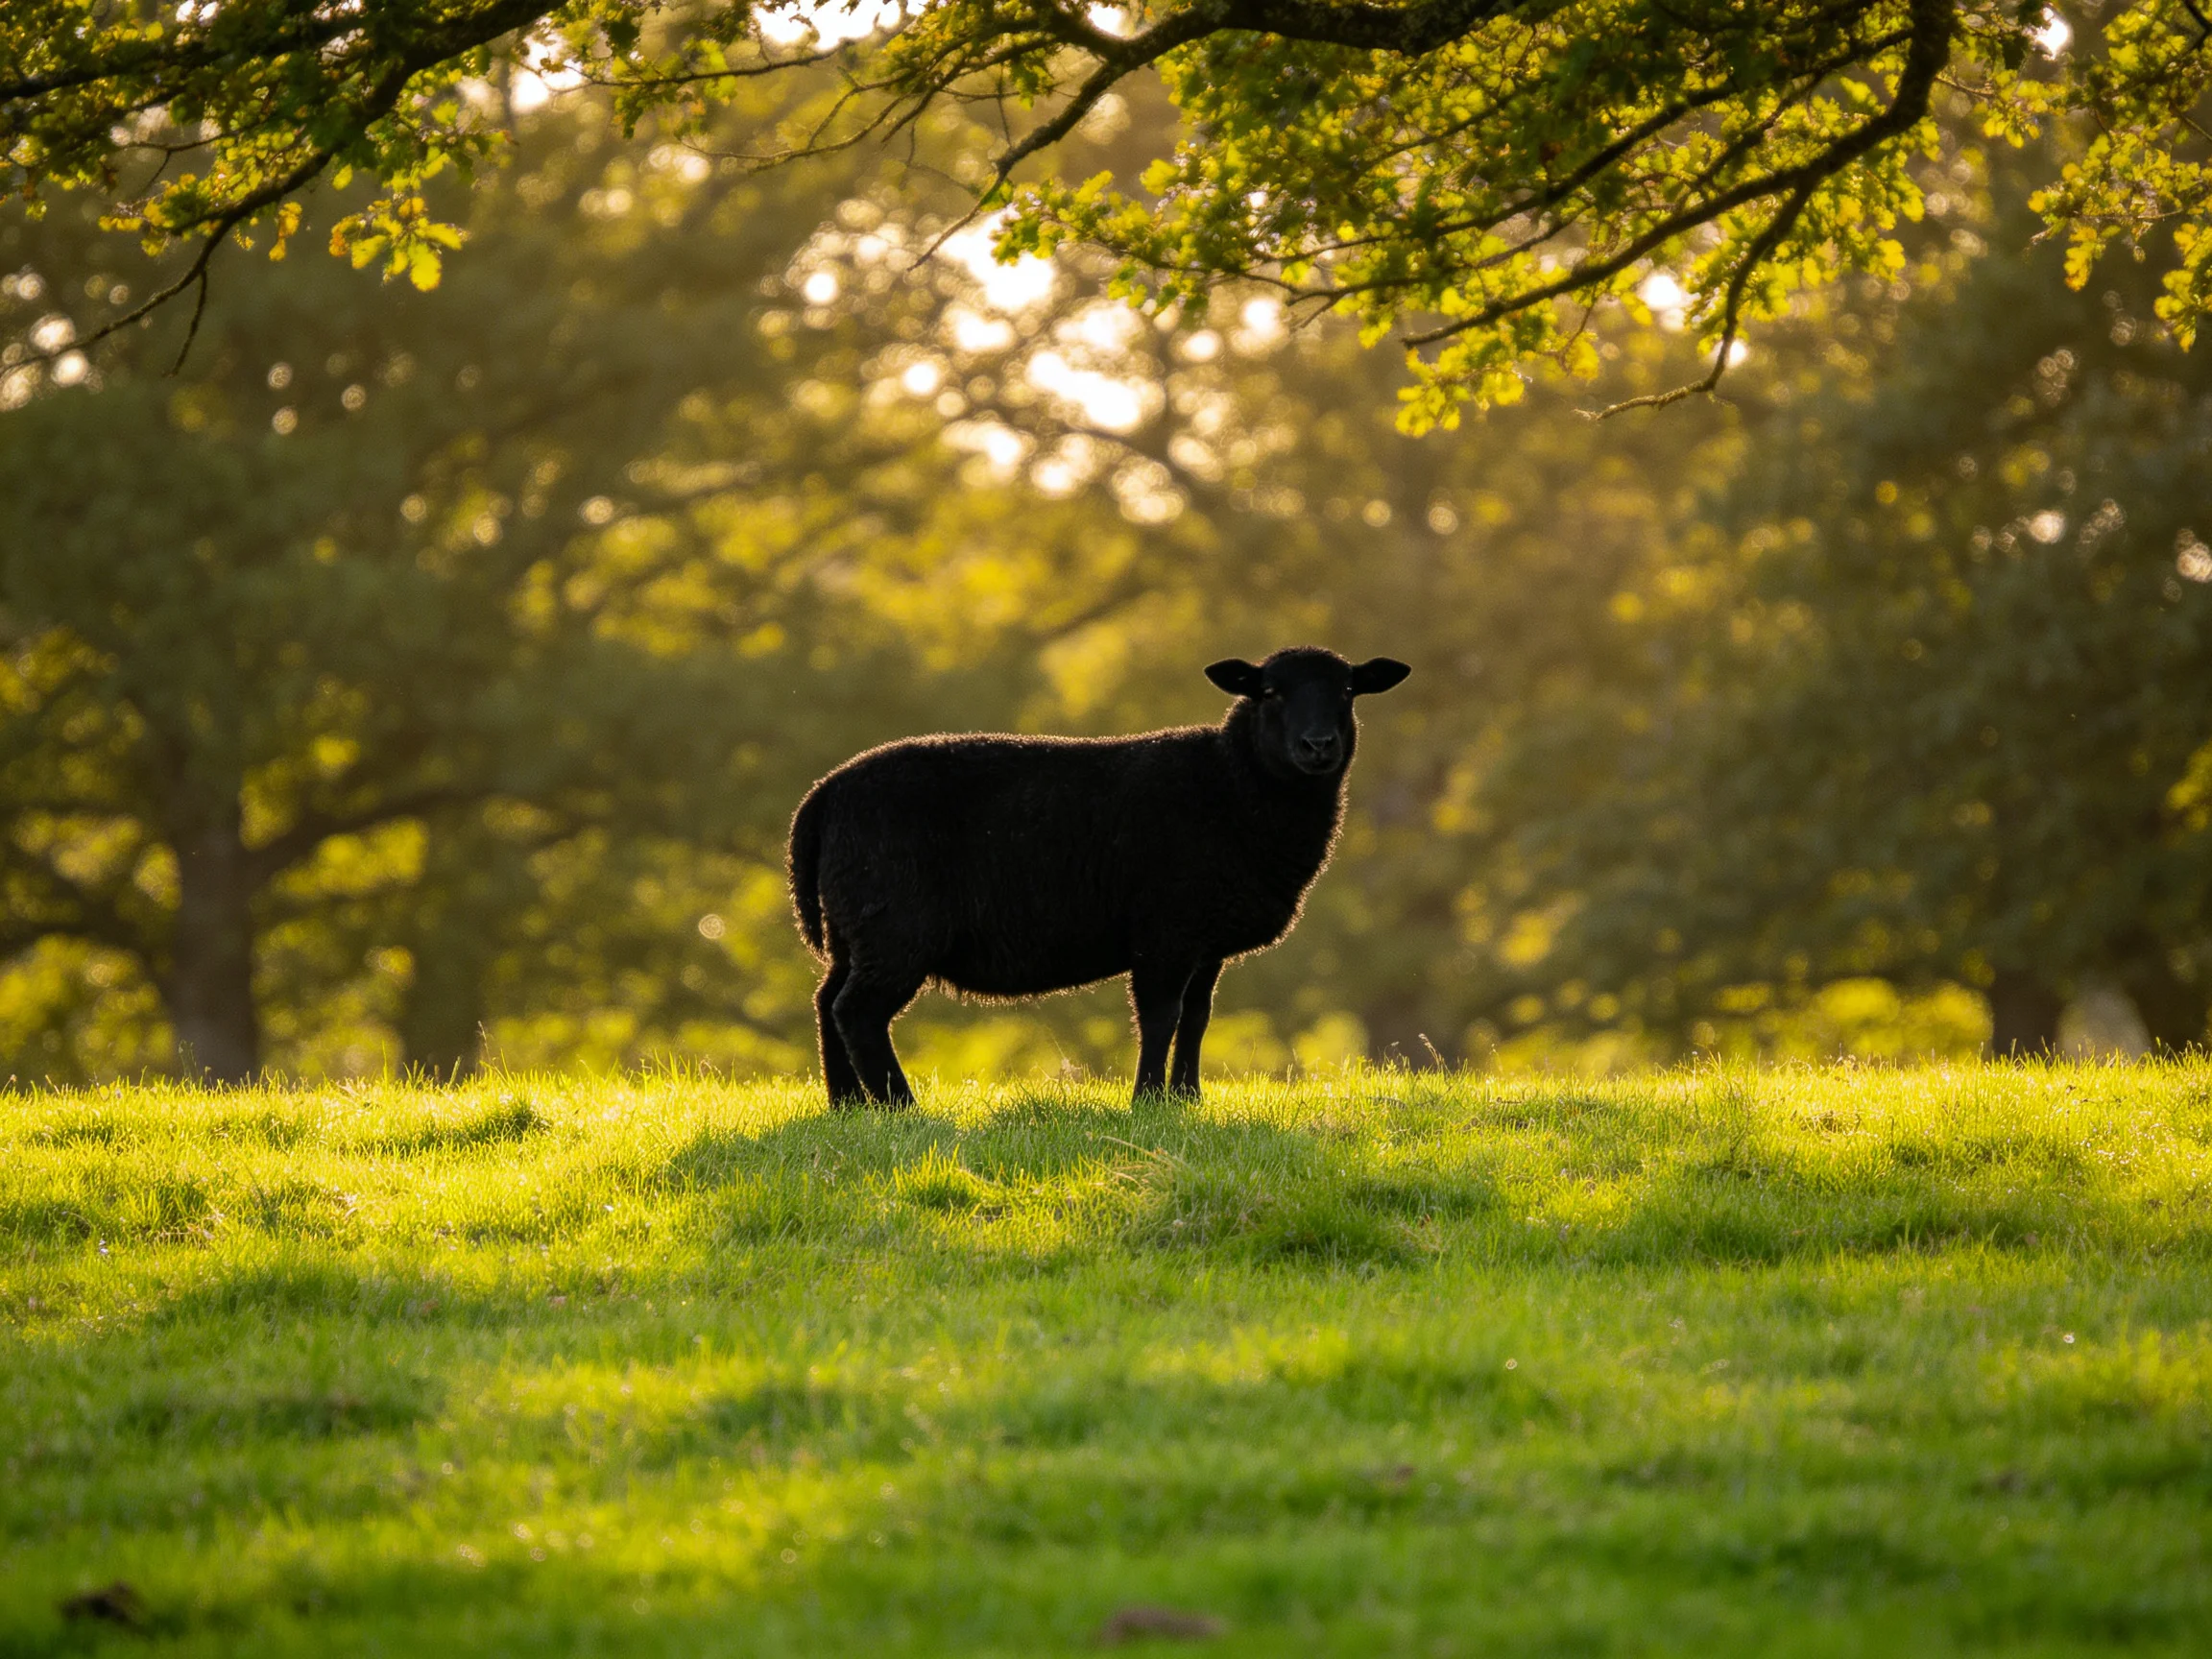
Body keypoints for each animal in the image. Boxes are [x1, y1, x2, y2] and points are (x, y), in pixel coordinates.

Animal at [785, 647, 1410, 1106]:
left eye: (1347, 691)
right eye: (1271, 692)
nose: (1318, 745)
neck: (1231, 784)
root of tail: (823, 794)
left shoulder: (1207, 940)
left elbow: (1198, 1018)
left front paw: (1186, 1099)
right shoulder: (1165, 931)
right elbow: (1161, 1016)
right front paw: (1148, 1101)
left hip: (855, 927)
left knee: (827, 1001)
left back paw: (848, 1108)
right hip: (896, 926)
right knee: (857, 1012)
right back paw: (900, 1108)